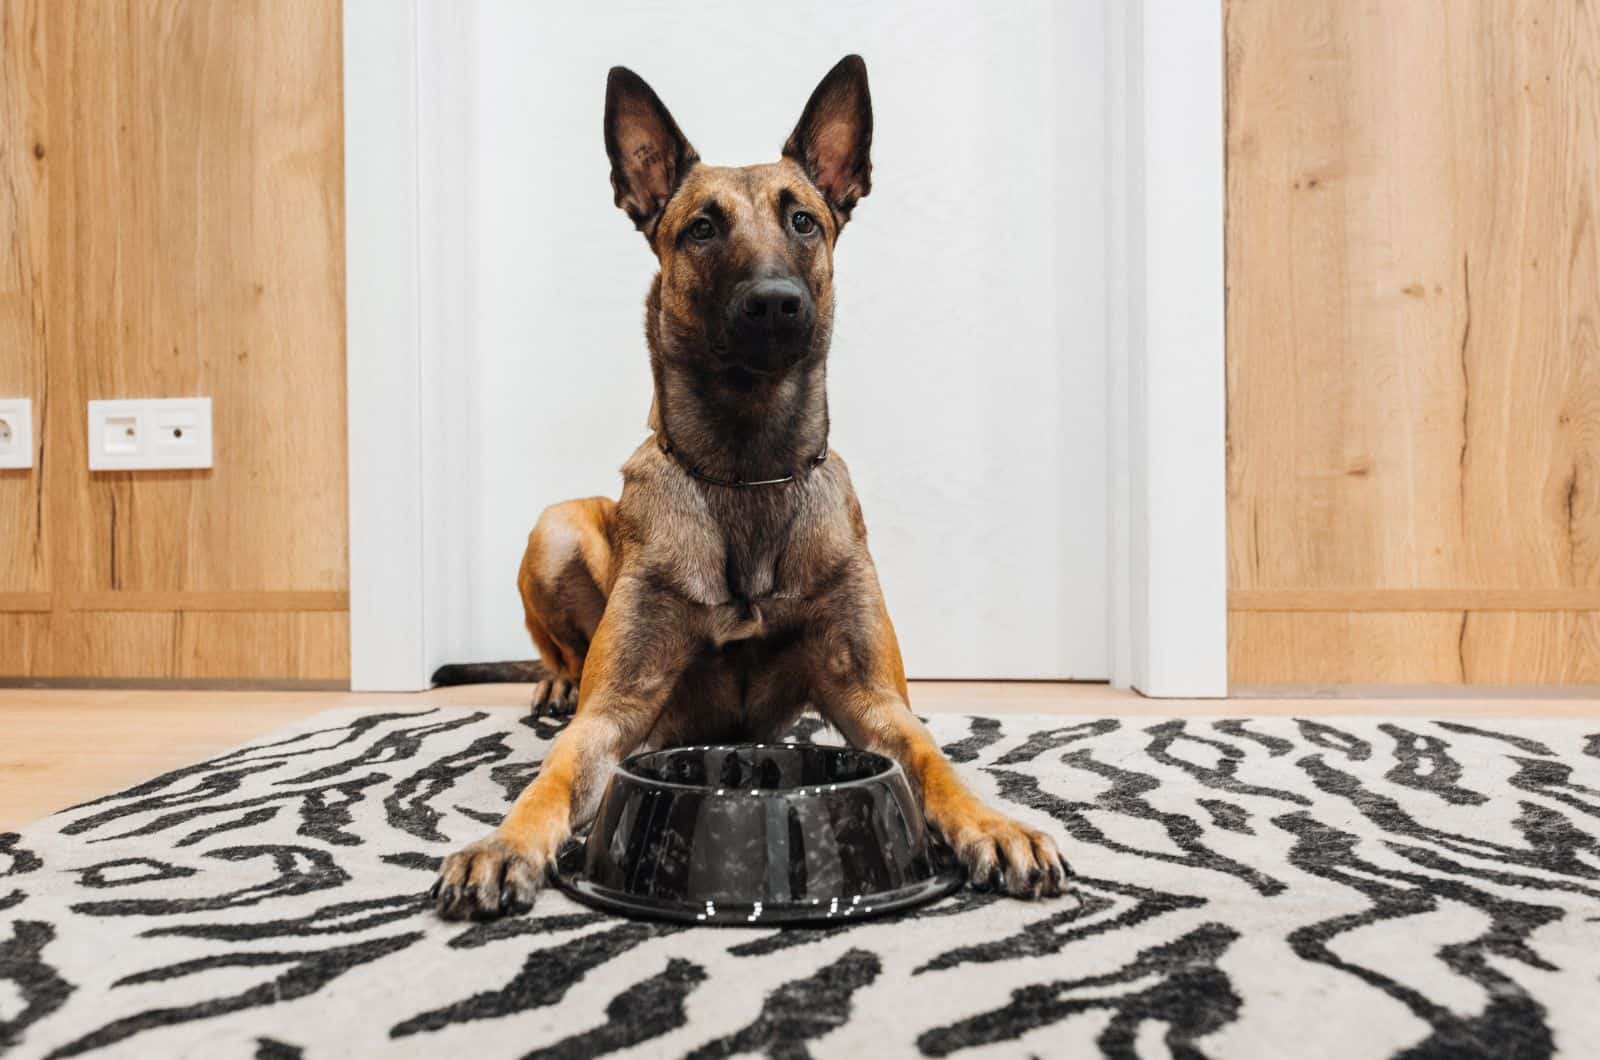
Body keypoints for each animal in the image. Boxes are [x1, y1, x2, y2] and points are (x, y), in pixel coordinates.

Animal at [432, 56, 1068, 922]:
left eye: (803, 221)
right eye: (702, 228)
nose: (774, 304)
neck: (747, 470)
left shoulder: (874, 699)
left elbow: (934, 759)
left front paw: (994, 824)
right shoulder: (617, 712)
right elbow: (555, 774)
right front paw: (503, 844)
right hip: (555, 525)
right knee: (555, 650)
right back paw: (556, 678)